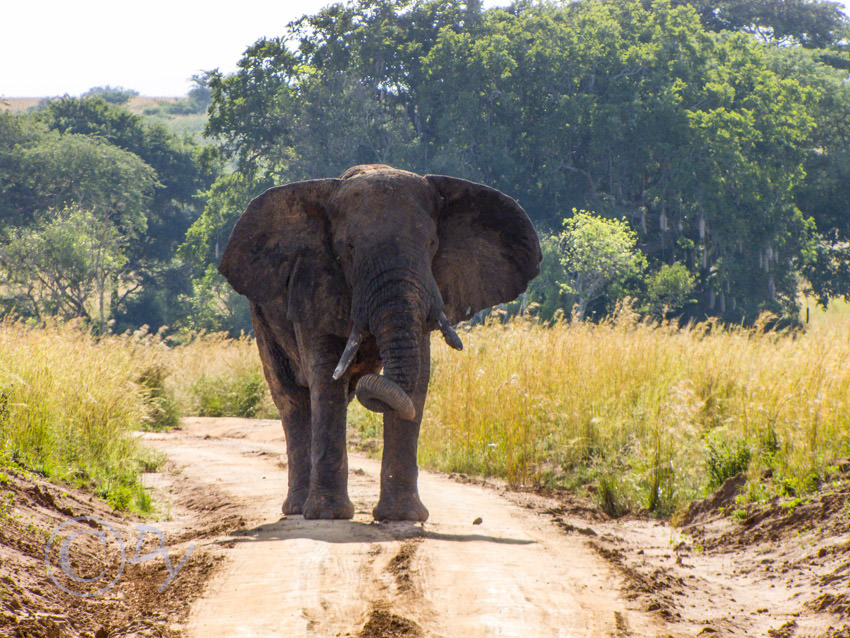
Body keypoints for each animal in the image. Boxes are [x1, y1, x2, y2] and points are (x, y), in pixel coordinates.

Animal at [217, 165, 536, 524]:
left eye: (432, 243)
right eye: (349, 248)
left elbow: (419, 376)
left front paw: (402, 517)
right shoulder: (314, 281)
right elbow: (325, 376)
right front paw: (329, 515)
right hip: (260, 315)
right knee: (292, 399)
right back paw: (299, 509)